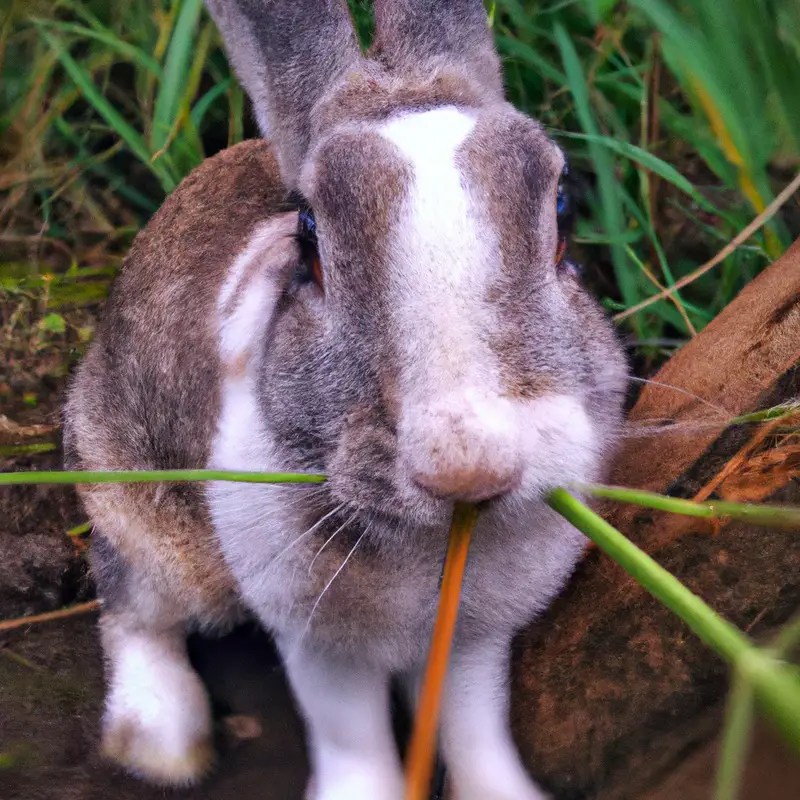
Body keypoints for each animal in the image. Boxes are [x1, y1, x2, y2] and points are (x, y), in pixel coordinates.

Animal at [62, 1, 627, 798]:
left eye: (564, 210)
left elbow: (472, 723)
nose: (467, 469)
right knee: (133, 605)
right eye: (310, 240)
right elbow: (349, 733)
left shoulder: (475, 638)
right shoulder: (316, 640)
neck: (428, 545)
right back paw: (160, 743)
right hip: (137, 504)